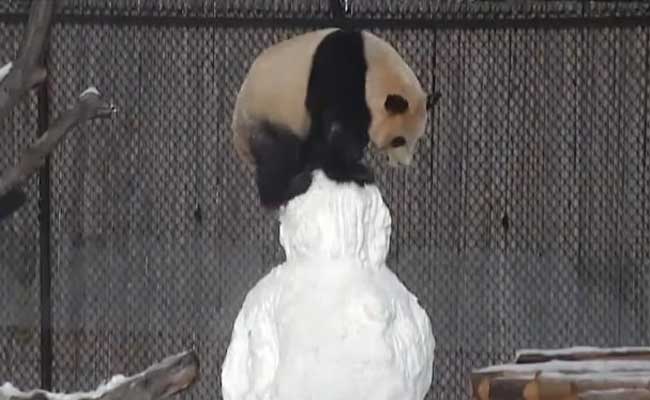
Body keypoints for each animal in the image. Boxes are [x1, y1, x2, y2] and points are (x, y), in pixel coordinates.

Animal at [232, 27, 437, 209]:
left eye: (416, 139)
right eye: (398, 140)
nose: (404, 163)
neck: (373, 70)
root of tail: (240, 143)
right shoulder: (337, 72)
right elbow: (333, 128)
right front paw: (354, 172)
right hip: (267, 116)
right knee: (278, 154)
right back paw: (288, 190)